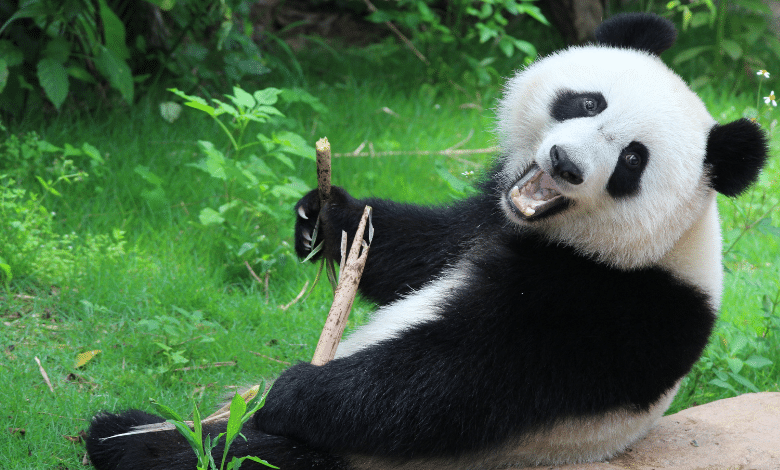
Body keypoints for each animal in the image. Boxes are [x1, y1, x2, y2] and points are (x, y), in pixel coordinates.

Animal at [85, 11, 768, 470]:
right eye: (585, 101)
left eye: (632, 160)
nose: (567, 164)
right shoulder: (491, 217)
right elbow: (422, 248)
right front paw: (324, 217)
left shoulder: (615, 308)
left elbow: (455, 381)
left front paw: (295, 390)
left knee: (239, 454)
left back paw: (132, 440)